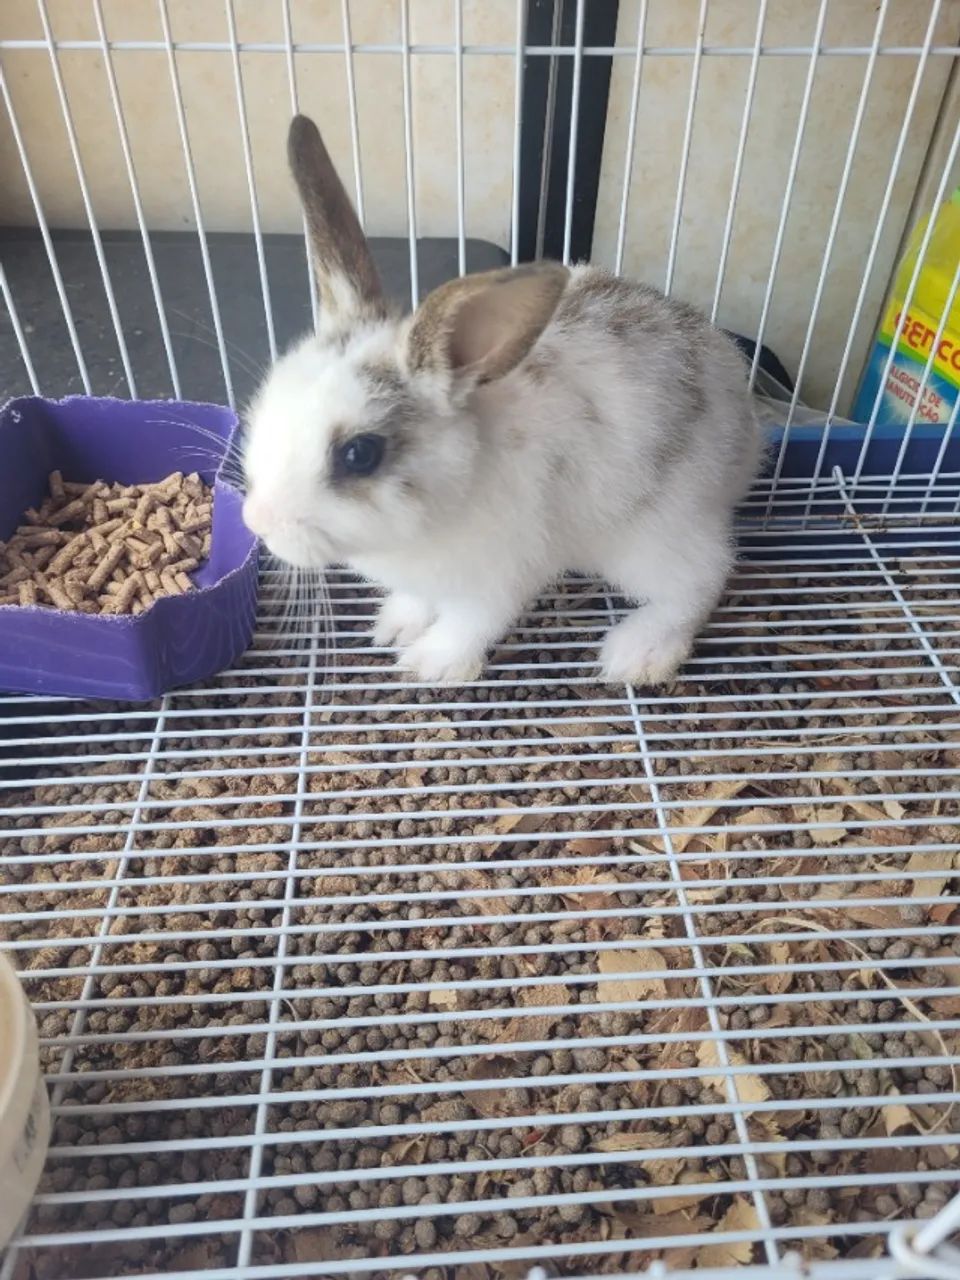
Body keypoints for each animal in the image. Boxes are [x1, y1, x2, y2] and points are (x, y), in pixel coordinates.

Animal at [242, 115, 764, 687]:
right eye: (264, 406)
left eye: (359, 454)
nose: (257, 522)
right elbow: (418, 600)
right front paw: (394, 626)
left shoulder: (497, 577)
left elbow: (471, 624)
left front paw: (429, 663)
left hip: (654, 535)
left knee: (701, 580)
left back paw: (638, 653)